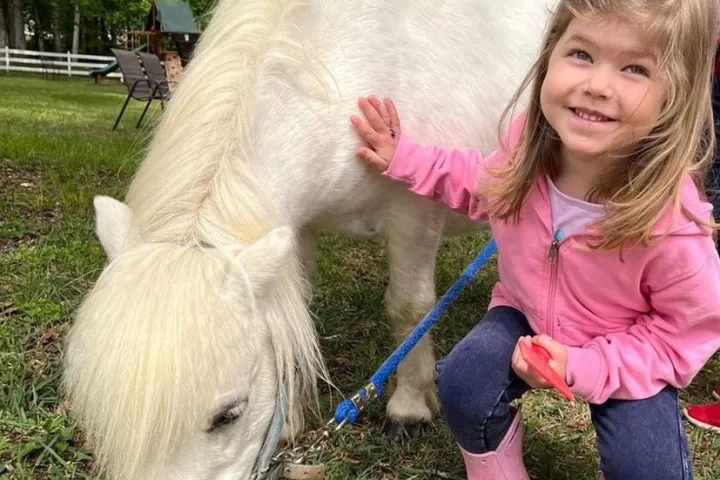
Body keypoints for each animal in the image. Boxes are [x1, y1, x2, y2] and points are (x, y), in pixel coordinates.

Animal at [63, 0, 552, 478]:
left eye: (229, 414)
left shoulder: (416, 212)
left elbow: (410, 308)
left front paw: (409, 407)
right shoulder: (295, 227)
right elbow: (294, 313)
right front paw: (290, 420)